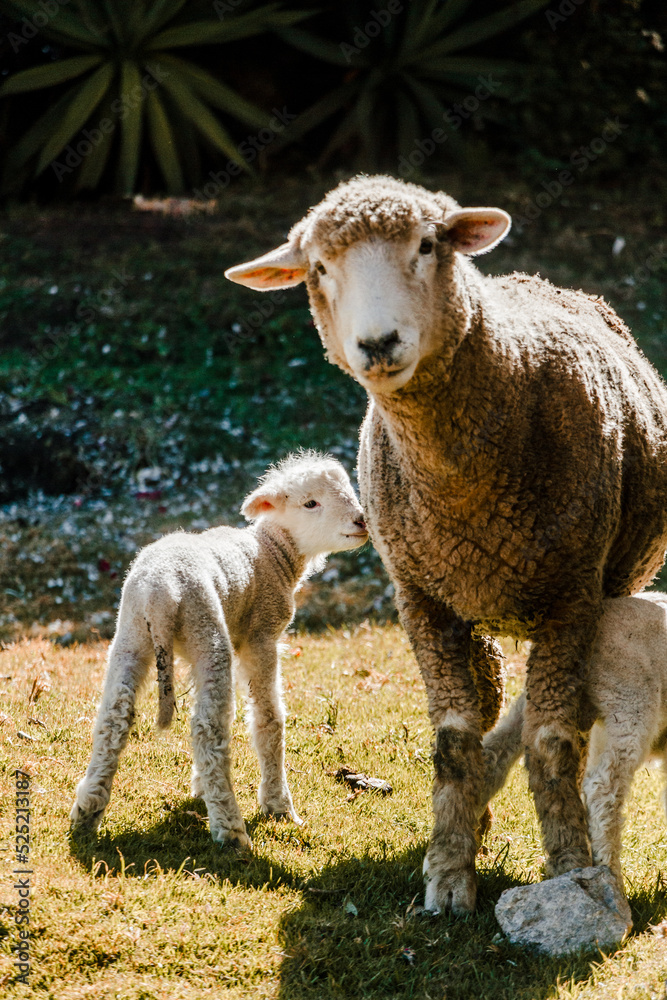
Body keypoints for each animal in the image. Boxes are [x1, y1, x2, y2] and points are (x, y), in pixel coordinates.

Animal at [70, 453, 368, 848]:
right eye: (311, 503)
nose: (361, 521)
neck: (273, 553)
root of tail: (160, 591)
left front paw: (199, 785)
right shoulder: (261, 635)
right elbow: (269, 719)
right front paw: (278, 805)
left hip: (131, 635)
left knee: (113, 719)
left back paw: (87, 811)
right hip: (207, 630)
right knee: (207, 728)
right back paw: (230, 828)